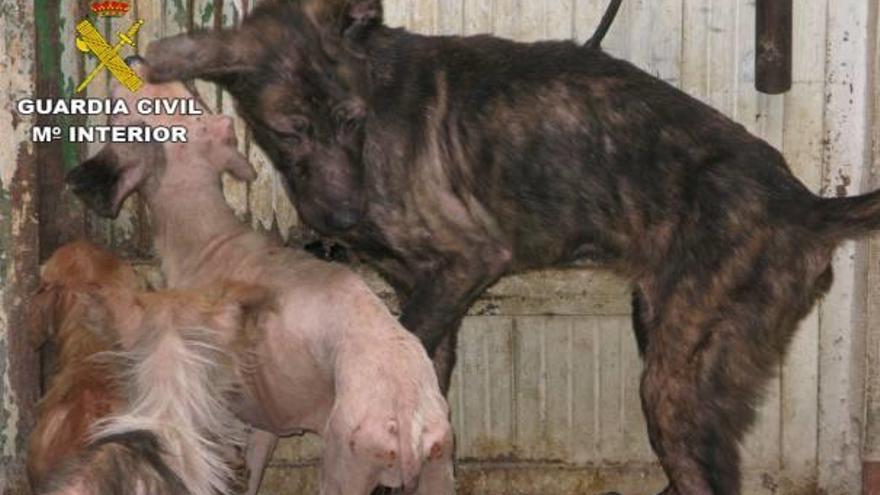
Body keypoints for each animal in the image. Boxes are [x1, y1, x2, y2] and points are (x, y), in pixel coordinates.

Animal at [67, 63, 454, 495]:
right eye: (193, 97)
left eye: (125, 113)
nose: (135, 59)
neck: (210, 241)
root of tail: (409, 423)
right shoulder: (267, 415)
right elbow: (253, 469)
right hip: (438, 467)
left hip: (348, 463)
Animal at [136, 1, 880, 494]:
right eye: (289, 131)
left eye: (353, 120)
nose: (340, 217)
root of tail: (807, 205)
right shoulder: (429, 295)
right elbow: (425, 381)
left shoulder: (469, 259)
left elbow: (403, 348)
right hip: (665, 329)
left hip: (677, 374)